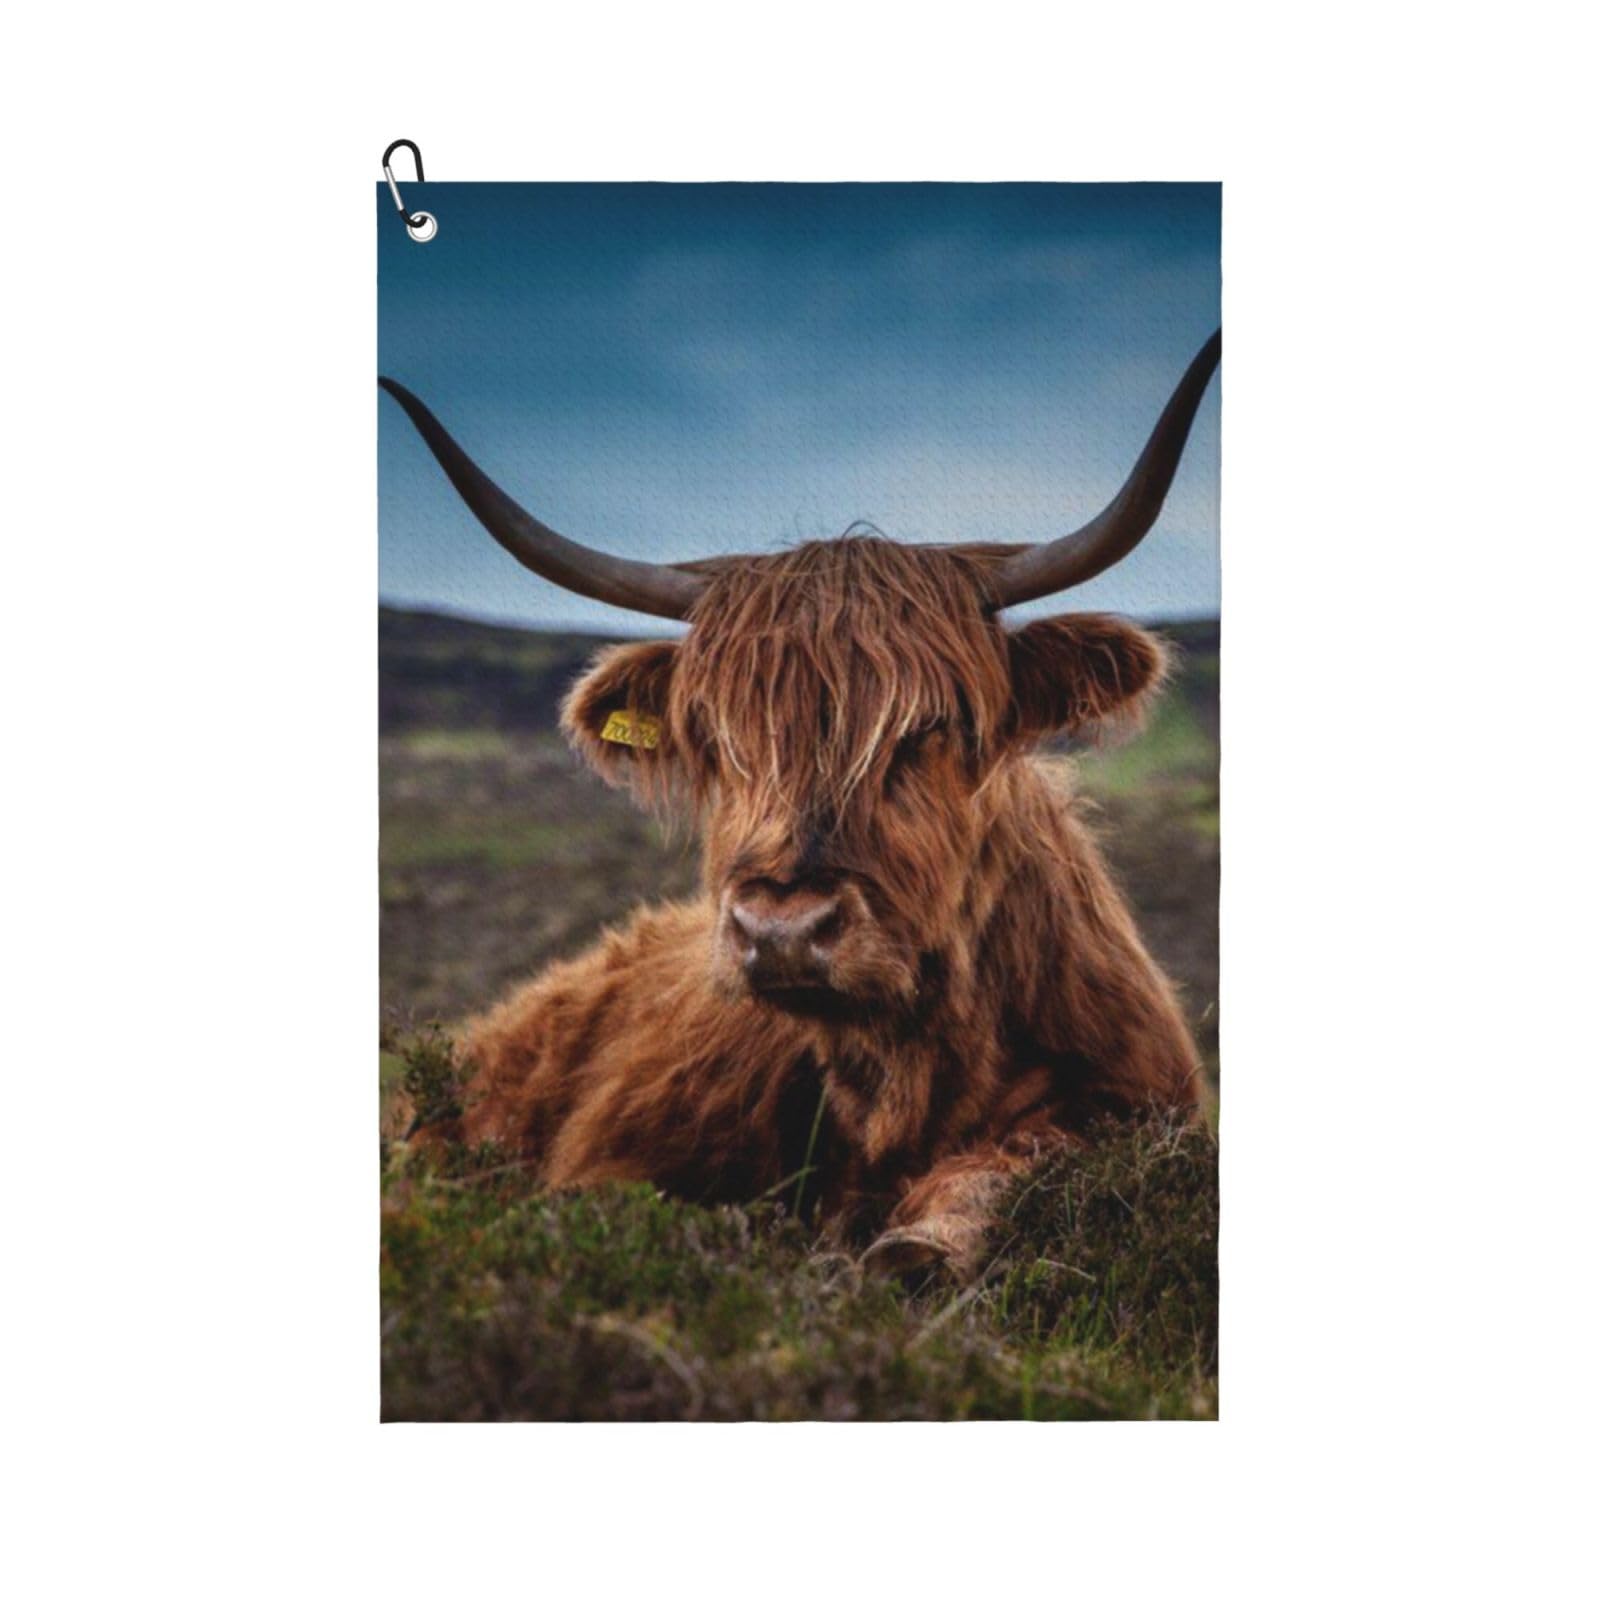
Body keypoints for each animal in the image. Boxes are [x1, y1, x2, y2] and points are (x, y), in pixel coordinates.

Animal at [379, 329, 1219, 1281]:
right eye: (714, 735)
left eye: (933, 726)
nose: (781, 928)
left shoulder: (1133, 1104)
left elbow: (1007, 1171)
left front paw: (917, 1245)